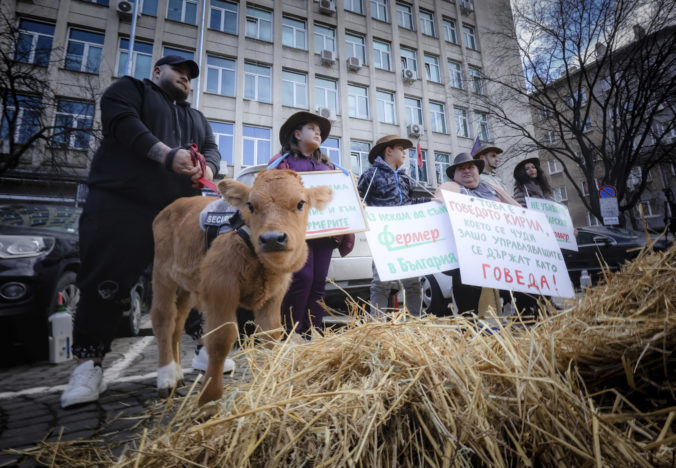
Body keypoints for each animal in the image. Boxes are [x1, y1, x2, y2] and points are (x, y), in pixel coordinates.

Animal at [152, 170, 334, 404]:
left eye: (301, 203)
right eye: (251, 206)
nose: (273, 239)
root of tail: (173, 206)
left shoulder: (275, 294)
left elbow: (271, 334)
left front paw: (271, 384)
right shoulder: (220, 287)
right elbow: (221, 339)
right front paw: (209, 399)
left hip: (186, 286)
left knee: (178, 321)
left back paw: (177, 375)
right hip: (162, 274)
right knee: (163, 319)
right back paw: (166, 379)